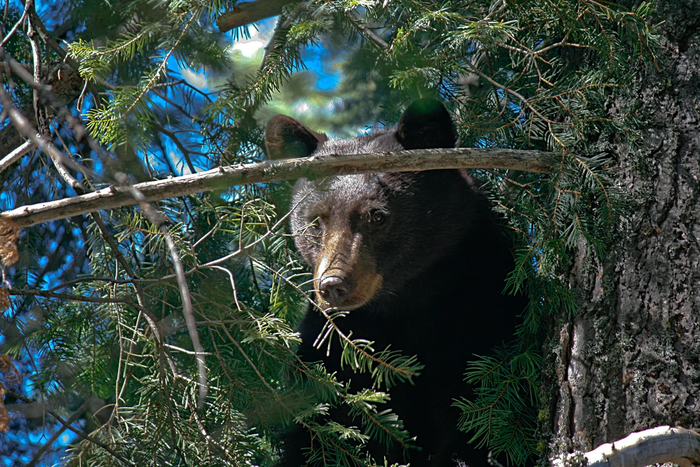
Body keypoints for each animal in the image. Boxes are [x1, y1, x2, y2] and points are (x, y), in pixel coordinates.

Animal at [266, 99, 524, 467]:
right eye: (315, 221)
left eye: (376, 215)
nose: (333, 284)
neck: (403, 302)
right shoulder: (333, 348)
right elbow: (318, 424)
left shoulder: (480, 307)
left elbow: (471, 405)